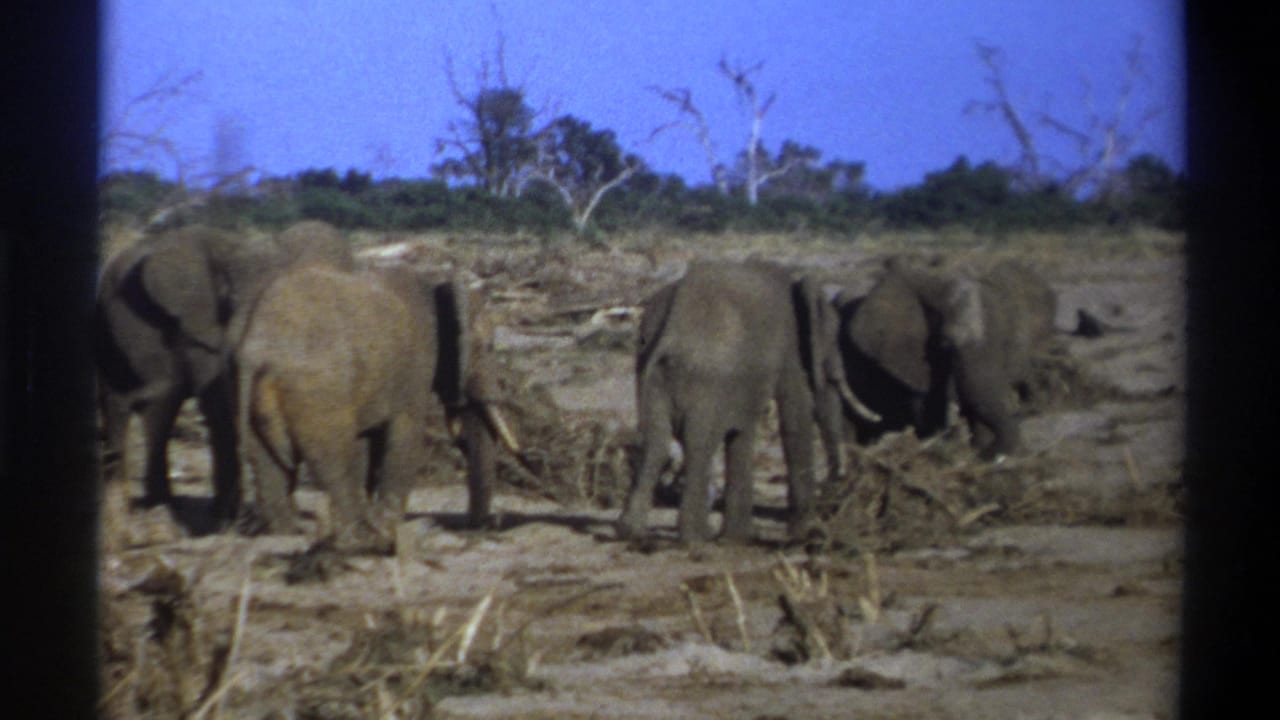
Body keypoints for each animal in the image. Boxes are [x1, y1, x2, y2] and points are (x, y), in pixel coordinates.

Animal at [93, 221, 355, 531]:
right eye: (230, 301)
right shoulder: (199, 326)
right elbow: (218, 403)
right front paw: (225, 518)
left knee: (156, 408)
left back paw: (156, 504)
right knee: (129, 404)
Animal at [234, 263, 518, 552]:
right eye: (489, 348)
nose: (476, 528)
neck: (436, 284)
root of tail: (262, 355)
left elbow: (369, 441)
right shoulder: (415, 367)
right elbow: (404, 436)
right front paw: (386, 524)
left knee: (267, 460)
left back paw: (290, 531)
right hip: (317, 393)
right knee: (333, 459)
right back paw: (357, 534)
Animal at [617, 260, 879, 545]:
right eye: (832, 344)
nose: (837, 488)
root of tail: (672, 327)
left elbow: (741, 430)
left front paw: (738, 539)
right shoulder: (788, 348)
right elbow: (794, 416)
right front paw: (802, 534)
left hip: (653, 376)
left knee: (656, 442)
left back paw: (632, 533)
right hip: (704, 380)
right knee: (699, 444)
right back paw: (696, 539)